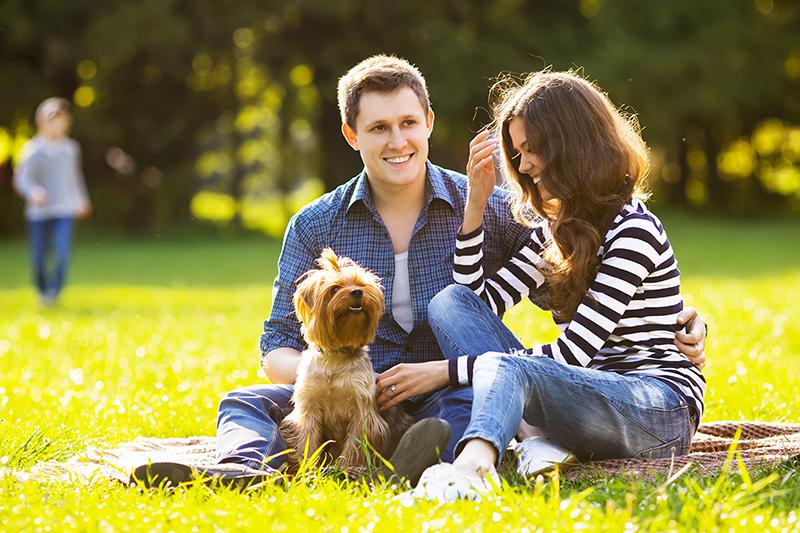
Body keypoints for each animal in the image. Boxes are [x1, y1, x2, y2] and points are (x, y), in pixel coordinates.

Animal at [278, 247, 412, 472]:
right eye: (334, 289)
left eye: (362, 285)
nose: (357, 292)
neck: (336, 356)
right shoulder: (308, 408)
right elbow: (307, 440)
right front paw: (308, 470)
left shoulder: (362, 412)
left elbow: (355, 445)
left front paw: (346, 470)